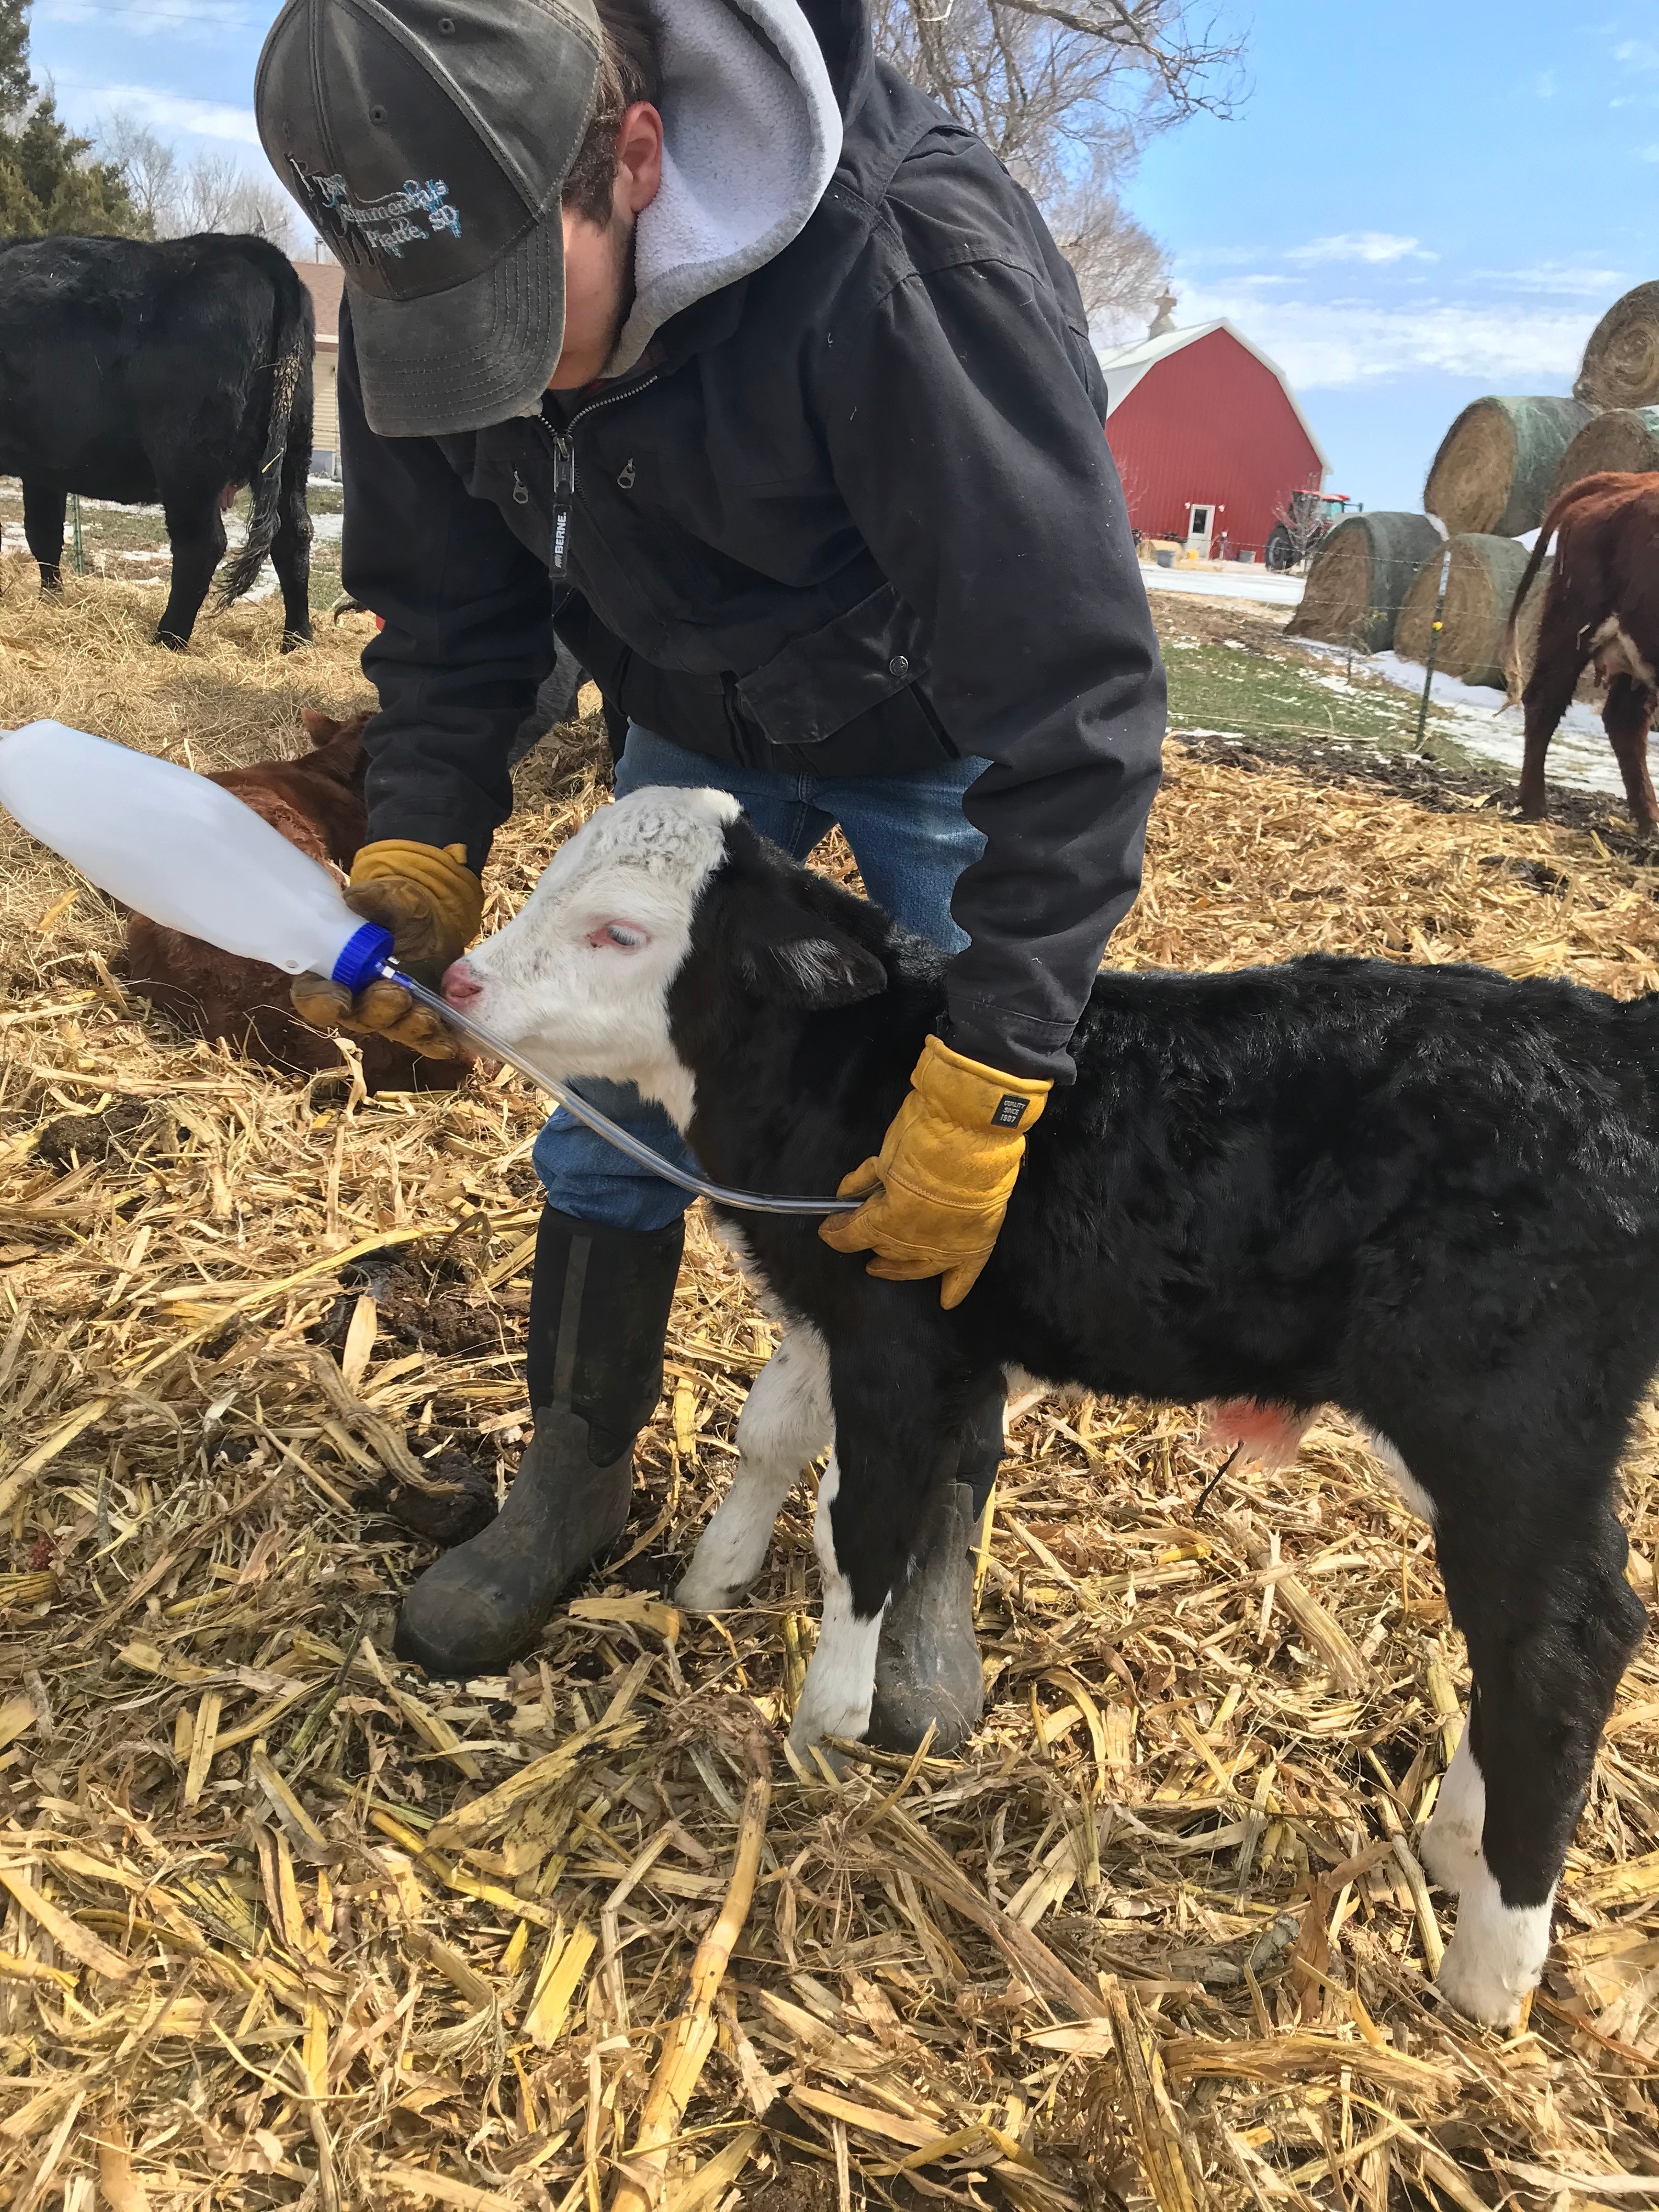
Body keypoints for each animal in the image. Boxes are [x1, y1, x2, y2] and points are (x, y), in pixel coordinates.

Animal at [0, 232, 314, 650]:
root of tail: (253, 250)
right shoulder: (44, 465)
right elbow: (44, 533)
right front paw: (51, 602)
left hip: (185, 459)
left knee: (202, 544)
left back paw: (168, 638)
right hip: (293, 447)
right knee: (293, 534)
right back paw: (297, 640)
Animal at [435, 785, 1658, 2030]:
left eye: (621, 933)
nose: (461, 979)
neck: (864, 1073)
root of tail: (1611, 1043)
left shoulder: (902, 1345)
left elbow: (863, 1525)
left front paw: (827, 1724)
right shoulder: (840, 1310)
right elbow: (773, 1431)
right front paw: (711, 1582)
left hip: (1503, 1421)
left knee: (1567, 1638)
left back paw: (1489, 1964)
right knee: (1528, 1629)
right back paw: (1460, 1843)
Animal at [1504, 470, 1659, 825]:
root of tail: (1622, 480)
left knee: (1625, 720)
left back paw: (1651, 820)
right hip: (1573, 625)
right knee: (1545, 700)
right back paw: (1534, 806)